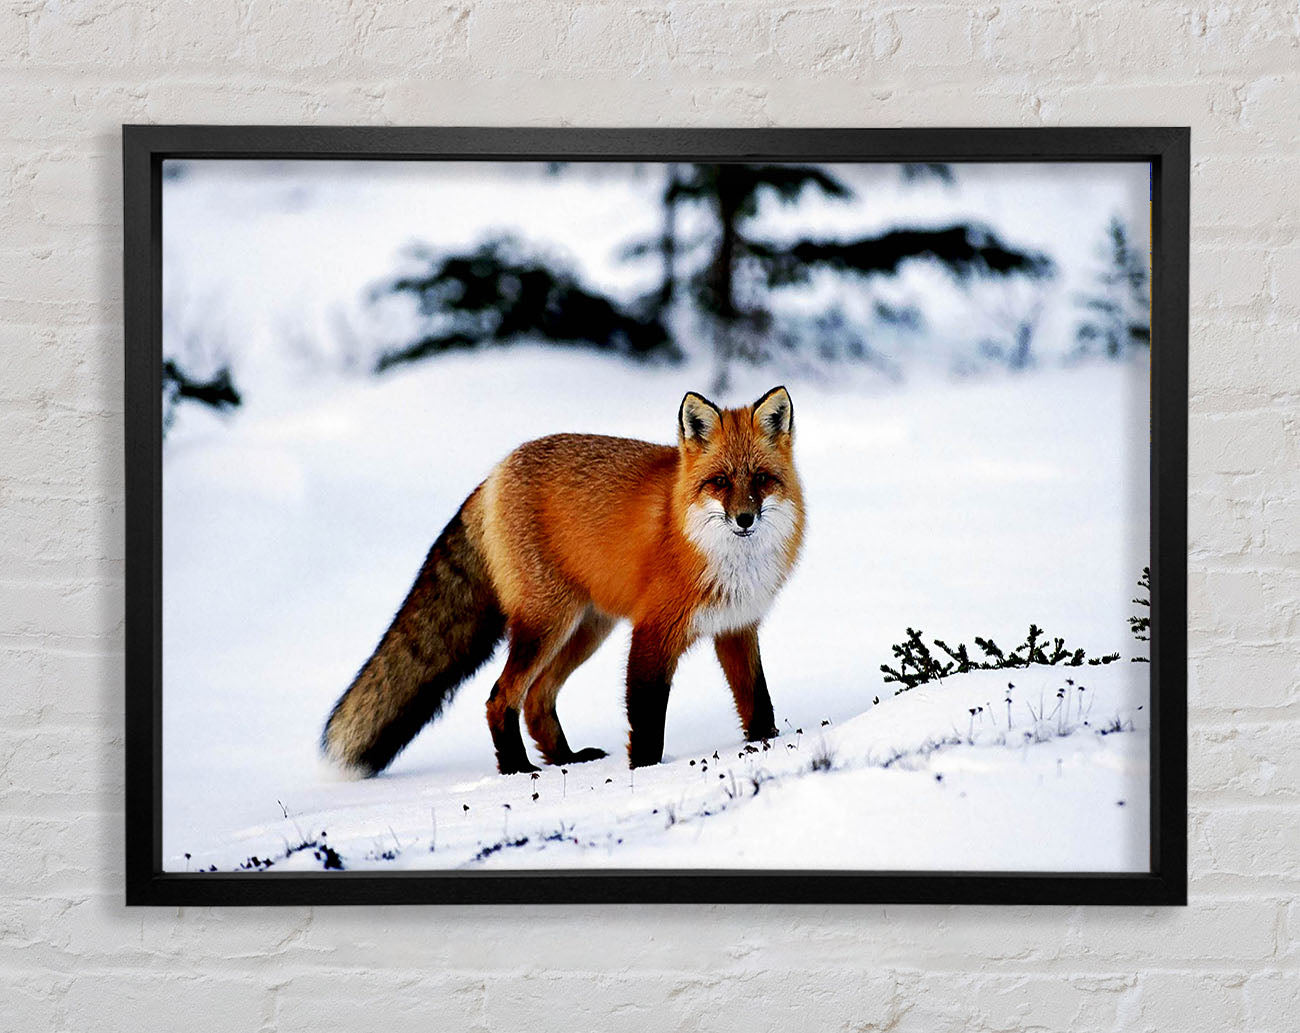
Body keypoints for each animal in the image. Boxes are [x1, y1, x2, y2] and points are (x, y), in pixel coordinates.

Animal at [321, 385, 804, 776]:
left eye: (761, 479)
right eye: (719, 482)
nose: (744, 519)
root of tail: (495, 472)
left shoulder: (736, 627)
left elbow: (758, 700)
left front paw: (767, 745)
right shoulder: (653, 631)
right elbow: (647, 717)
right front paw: (646, 772)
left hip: (587, 629)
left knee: (537, 699)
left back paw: (565, 759)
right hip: (546, 624)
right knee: (501, 697)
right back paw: (517, 769)